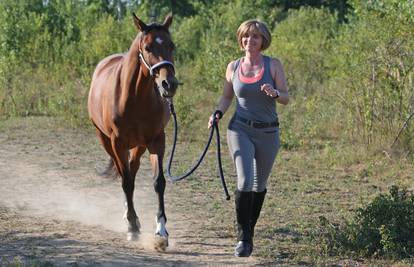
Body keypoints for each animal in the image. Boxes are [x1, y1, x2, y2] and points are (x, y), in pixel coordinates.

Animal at [87, 13, 178, 250]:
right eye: (147, 47)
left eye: (171, 45)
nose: (169, 84)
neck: (135, 96)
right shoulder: (117, 142)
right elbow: (126, 182)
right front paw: (132, 227)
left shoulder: (157, 141)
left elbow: (159, 182)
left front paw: (161, 232)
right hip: (106, 141)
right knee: (124, 175)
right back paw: (130, 218)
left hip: (139, 145)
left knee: (132, 169)